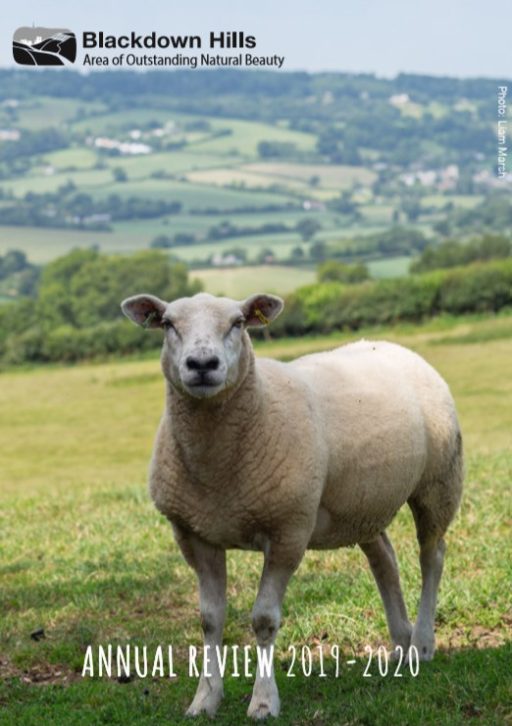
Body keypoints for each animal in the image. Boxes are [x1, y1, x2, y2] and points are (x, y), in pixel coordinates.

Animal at [121, 290, 463, 720]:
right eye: (168, 323)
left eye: (238, 322)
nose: (202, 364)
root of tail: (392, 345)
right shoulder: (195, 535)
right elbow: (209, 620)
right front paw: (204, 699)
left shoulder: (288, 530)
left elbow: (264, 619)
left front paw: (264, 701)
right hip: (360, 504)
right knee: (385, 559)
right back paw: (401, 643)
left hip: (439, 482)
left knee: (432, 556)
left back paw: (422, 642)